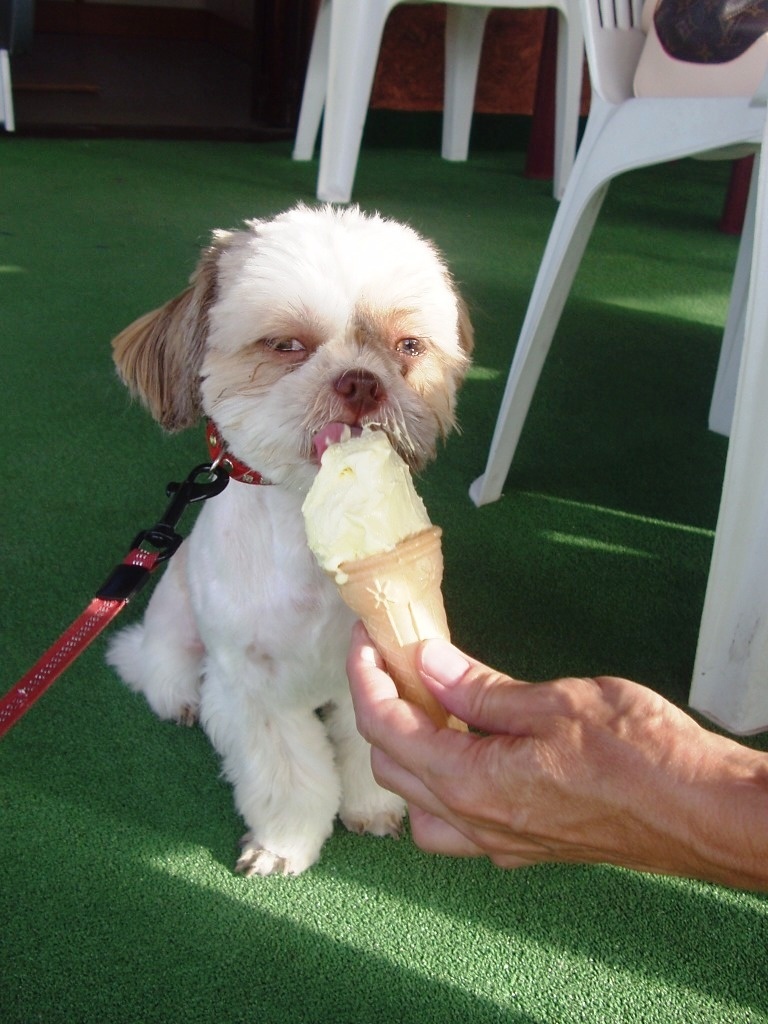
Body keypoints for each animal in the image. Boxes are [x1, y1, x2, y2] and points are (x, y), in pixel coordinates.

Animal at [105, 203, 473, 876]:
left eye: (408, 347)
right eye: (286, 345)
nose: (362, 381)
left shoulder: (369, 664)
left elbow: (365, 744)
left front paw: (374, 806)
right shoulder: (251, 688)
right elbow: (288, 774)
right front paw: (283, 844)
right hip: (175, 623)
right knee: (155, 664)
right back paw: (177, 696)